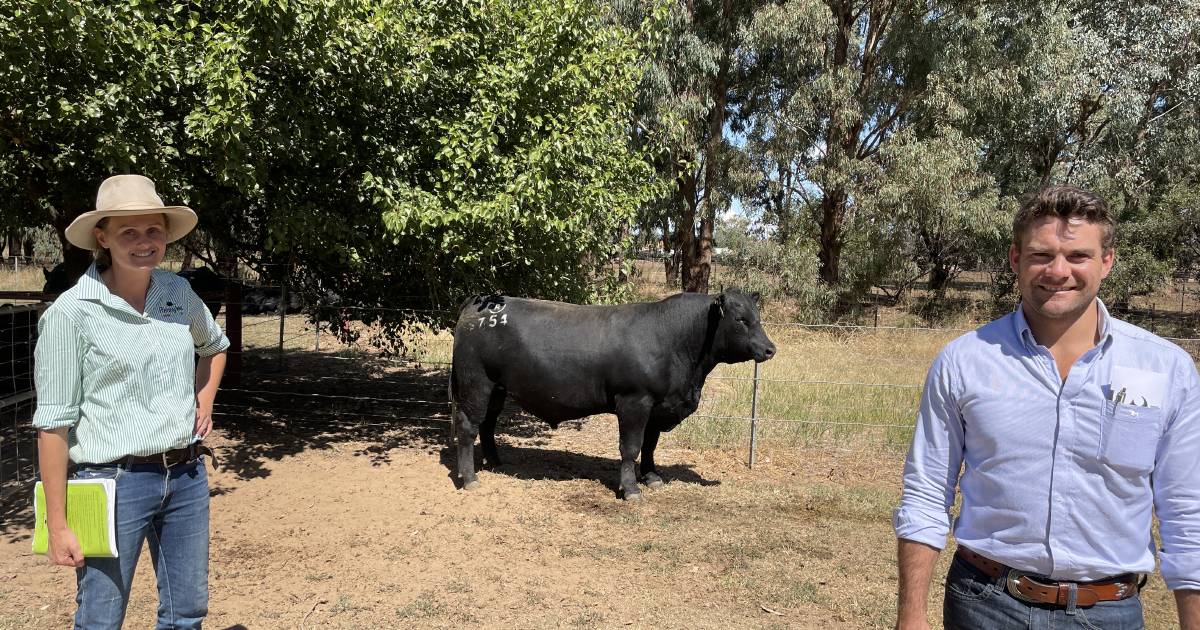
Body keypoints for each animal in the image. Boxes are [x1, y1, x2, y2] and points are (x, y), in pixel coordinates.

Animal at [451, 286, 777, 499]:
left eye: (758, 317)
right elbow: (630, 447)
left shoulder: (658, 406)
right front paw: (631, 489)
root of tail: (479, 301)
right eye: (740, 319)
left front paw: (652, 477)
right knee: (468, 426)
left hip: (497, 388)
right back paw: (470, 478)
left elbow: (650, 445)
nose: (770, 349)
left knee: (488, 424)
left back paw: (495, 461)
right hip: (475, 382)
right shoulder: (634, 402)